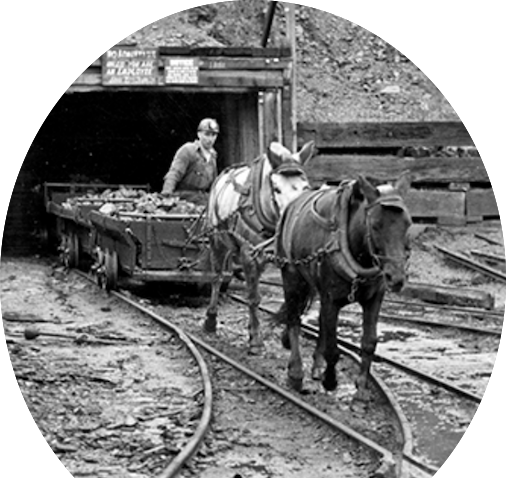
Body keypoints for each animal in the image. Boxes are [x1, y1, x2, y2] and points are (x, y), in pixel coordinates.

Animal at [204, 140, 316, 350]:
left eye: (305, 187)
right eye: (277, 189)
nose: (294, 222)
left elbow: (292, 299)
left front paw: (286, 337)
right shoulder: (249, 254)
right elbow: (253, 298)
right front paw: (256, 339)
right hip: (217, 241)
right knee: (216, 278)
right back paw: (211, 320)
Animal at [275, 173, 411, 400]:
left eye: (408, 224)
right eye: (375, 225)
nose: (397, 278)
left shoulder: (374, 298)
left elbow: (369, 342)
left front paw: (362, 387)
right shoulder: (331, 300)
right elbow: (332, 348)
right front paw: (330, 381)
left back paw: (317, 366)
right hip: (292, 277)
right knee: (294, 319)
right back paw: (296, 371)